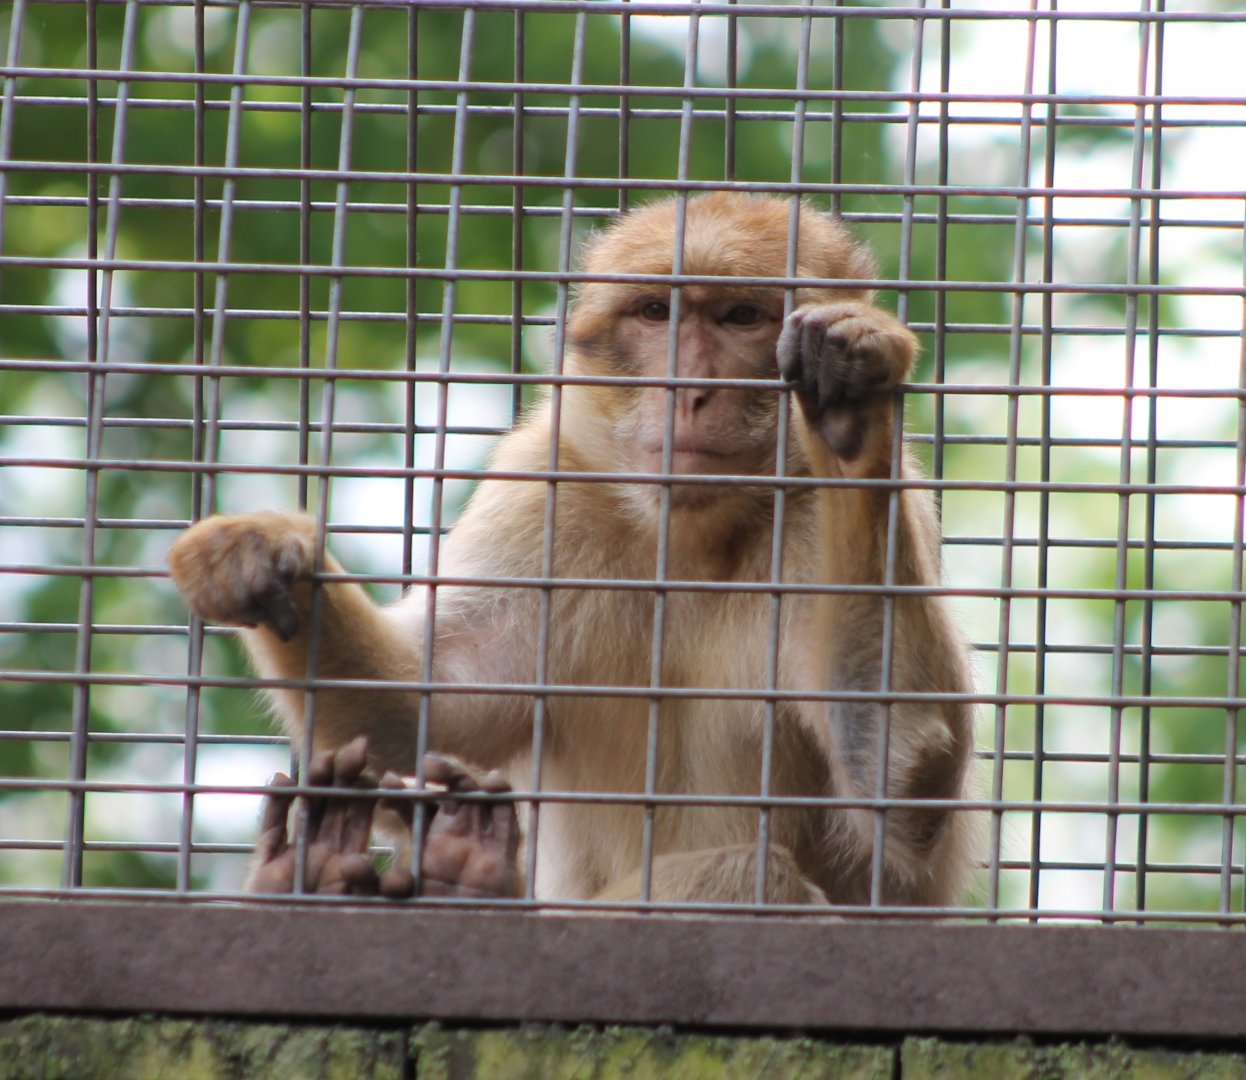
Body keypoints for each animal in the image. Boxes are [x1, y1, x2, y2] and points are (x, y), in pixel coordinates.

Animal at [168, 191, 976, 907]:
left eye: (741, 315)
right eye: (656, 313)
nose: (689, 389)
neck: (692, 541)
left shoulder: (822, 518)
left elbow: (904, 770)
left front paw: (851, 413)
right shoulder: (543, 494)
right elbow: (423, 707)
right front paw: (258, 556)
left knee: (755, 875)